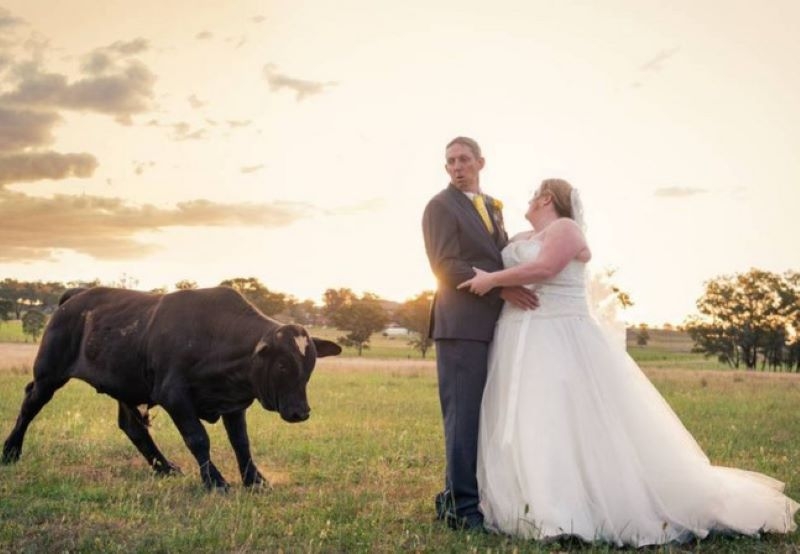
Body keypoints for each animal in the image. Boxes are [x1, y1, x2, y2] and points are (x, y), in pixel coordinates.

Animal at [0, 284, 340, 488]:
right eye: (282, 365)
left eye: (309, 366)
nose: (300, 412)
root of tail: (76, 296)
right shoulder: (174, 396)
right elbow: (198, 439)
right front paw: (215, 481)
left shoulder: (233, 403)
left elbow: (241, 443)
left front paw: (255, 480)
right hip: (49, 374)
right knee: (30, 405)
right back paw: (10, 451)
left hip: (125, 384)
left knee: (132, 426)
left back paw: (163, 467)